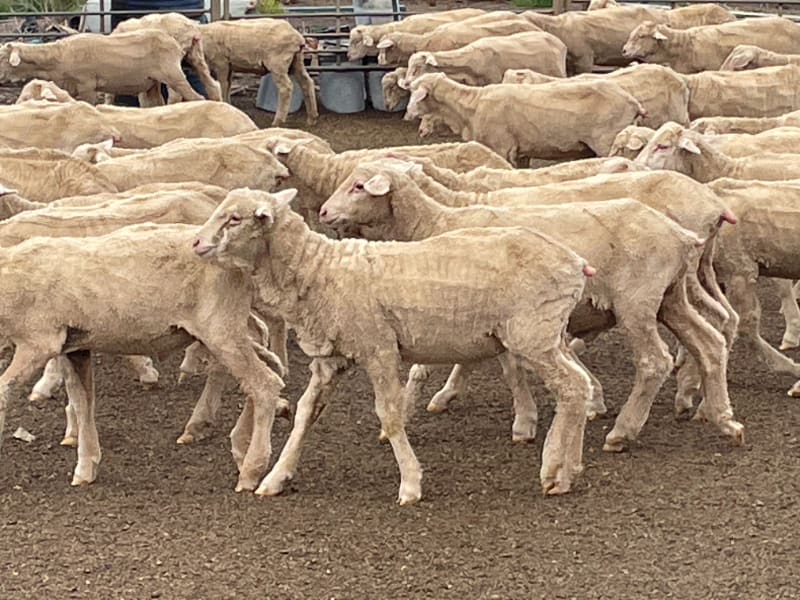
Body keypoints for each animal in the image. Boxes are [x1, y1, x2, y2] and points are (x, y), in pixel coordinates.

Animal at [0, 30, 204, 105]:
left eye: (2, 57)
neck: (58, 55)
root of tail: (176, 44)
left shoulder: (87, 85)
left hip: (173, 74)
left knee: (197, 97)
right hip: (152, 82)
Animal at [0, 222, 286, 491]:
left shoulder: (39, 342)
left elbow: (4, 390)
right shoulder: (75, 347)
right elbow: (83, 403)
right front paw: (86, 468)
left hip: (221, 327)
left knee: (265, 384)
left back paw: (251, 470)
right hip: (225, 329)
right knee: (267, 367)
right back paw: (236, 443)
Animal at [193, 188, 595, 502]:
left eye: (234, 219)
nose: (195, 243)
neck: (320, 271)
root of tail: (576, 262)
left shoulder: (378, 348)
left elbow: (388, 412)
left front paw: (410, 484)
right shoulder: (332, 359)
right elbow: (306, 413)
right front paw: (276, 477)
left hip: (533, 334)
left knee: (572, 387)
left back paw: (556, 472)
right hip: (550, 335)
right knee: (581, 385)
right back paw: (572, 465)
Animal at [318, 160, 744, 454]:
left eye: (359, 186)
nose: (322, 212)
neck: (438, 221)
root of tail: (681, 232)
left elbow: (470, 367)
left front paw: (522, 422)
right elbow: (492, 362)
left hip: (637, 302)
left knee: (656, 361)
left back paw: (624, 431)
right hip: (670, 297)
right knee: (710, 341)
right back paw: (722, 417)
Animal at [405, 72, 646, 164]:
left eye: (417, 93)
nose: (408, 116)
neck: (471, 106)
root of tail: (633, 102)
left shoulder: (501, 147)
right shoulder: (520, 151)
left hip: (607, 141)